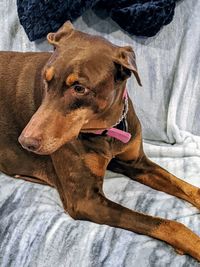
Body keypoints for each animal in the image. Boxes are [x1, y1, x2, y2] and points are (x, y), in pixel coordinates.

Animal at [0, 21, 200, 262]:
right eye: (46, 80)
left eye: (79, 88)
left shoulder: (136, 163)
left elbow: (185, 187)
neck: (107, 130)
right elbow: (169, 225)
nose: (25, 141)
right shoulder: (86, 201)